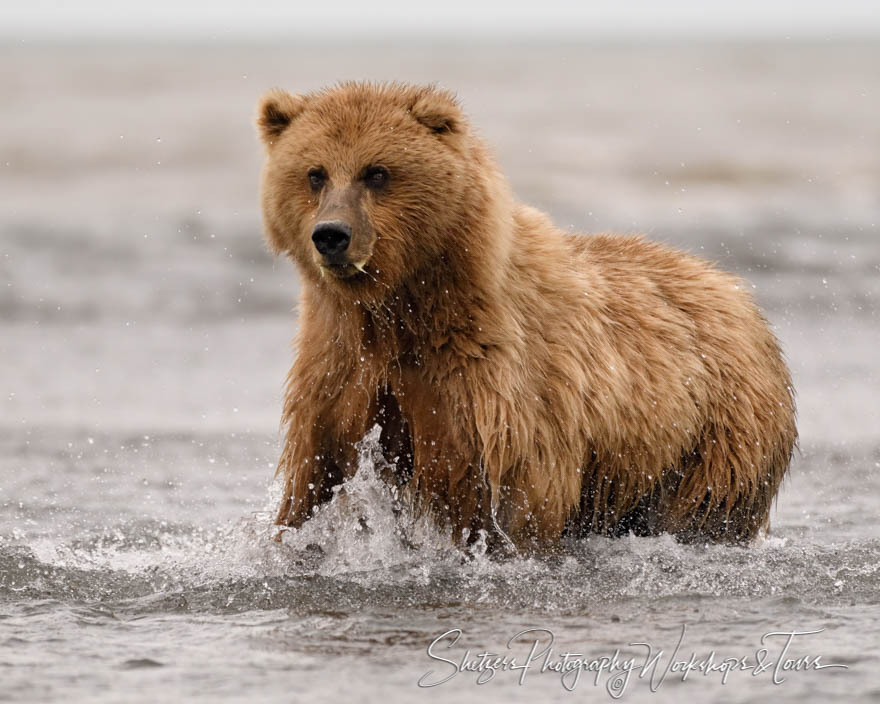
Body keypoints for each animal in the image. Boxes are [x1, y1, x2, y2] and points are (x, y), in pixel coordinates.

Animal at [254, 82, 796, 552]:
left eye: (377, 172)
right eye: (315, 173)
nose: (331, 235)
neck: (405, 307)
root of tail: (736, 291)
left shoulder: (489, 383)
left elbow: (504, 499)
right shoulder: (340, 368)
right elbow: (313, 483)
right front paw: (292, 543)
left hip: (715, 435)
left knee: (700, 511)